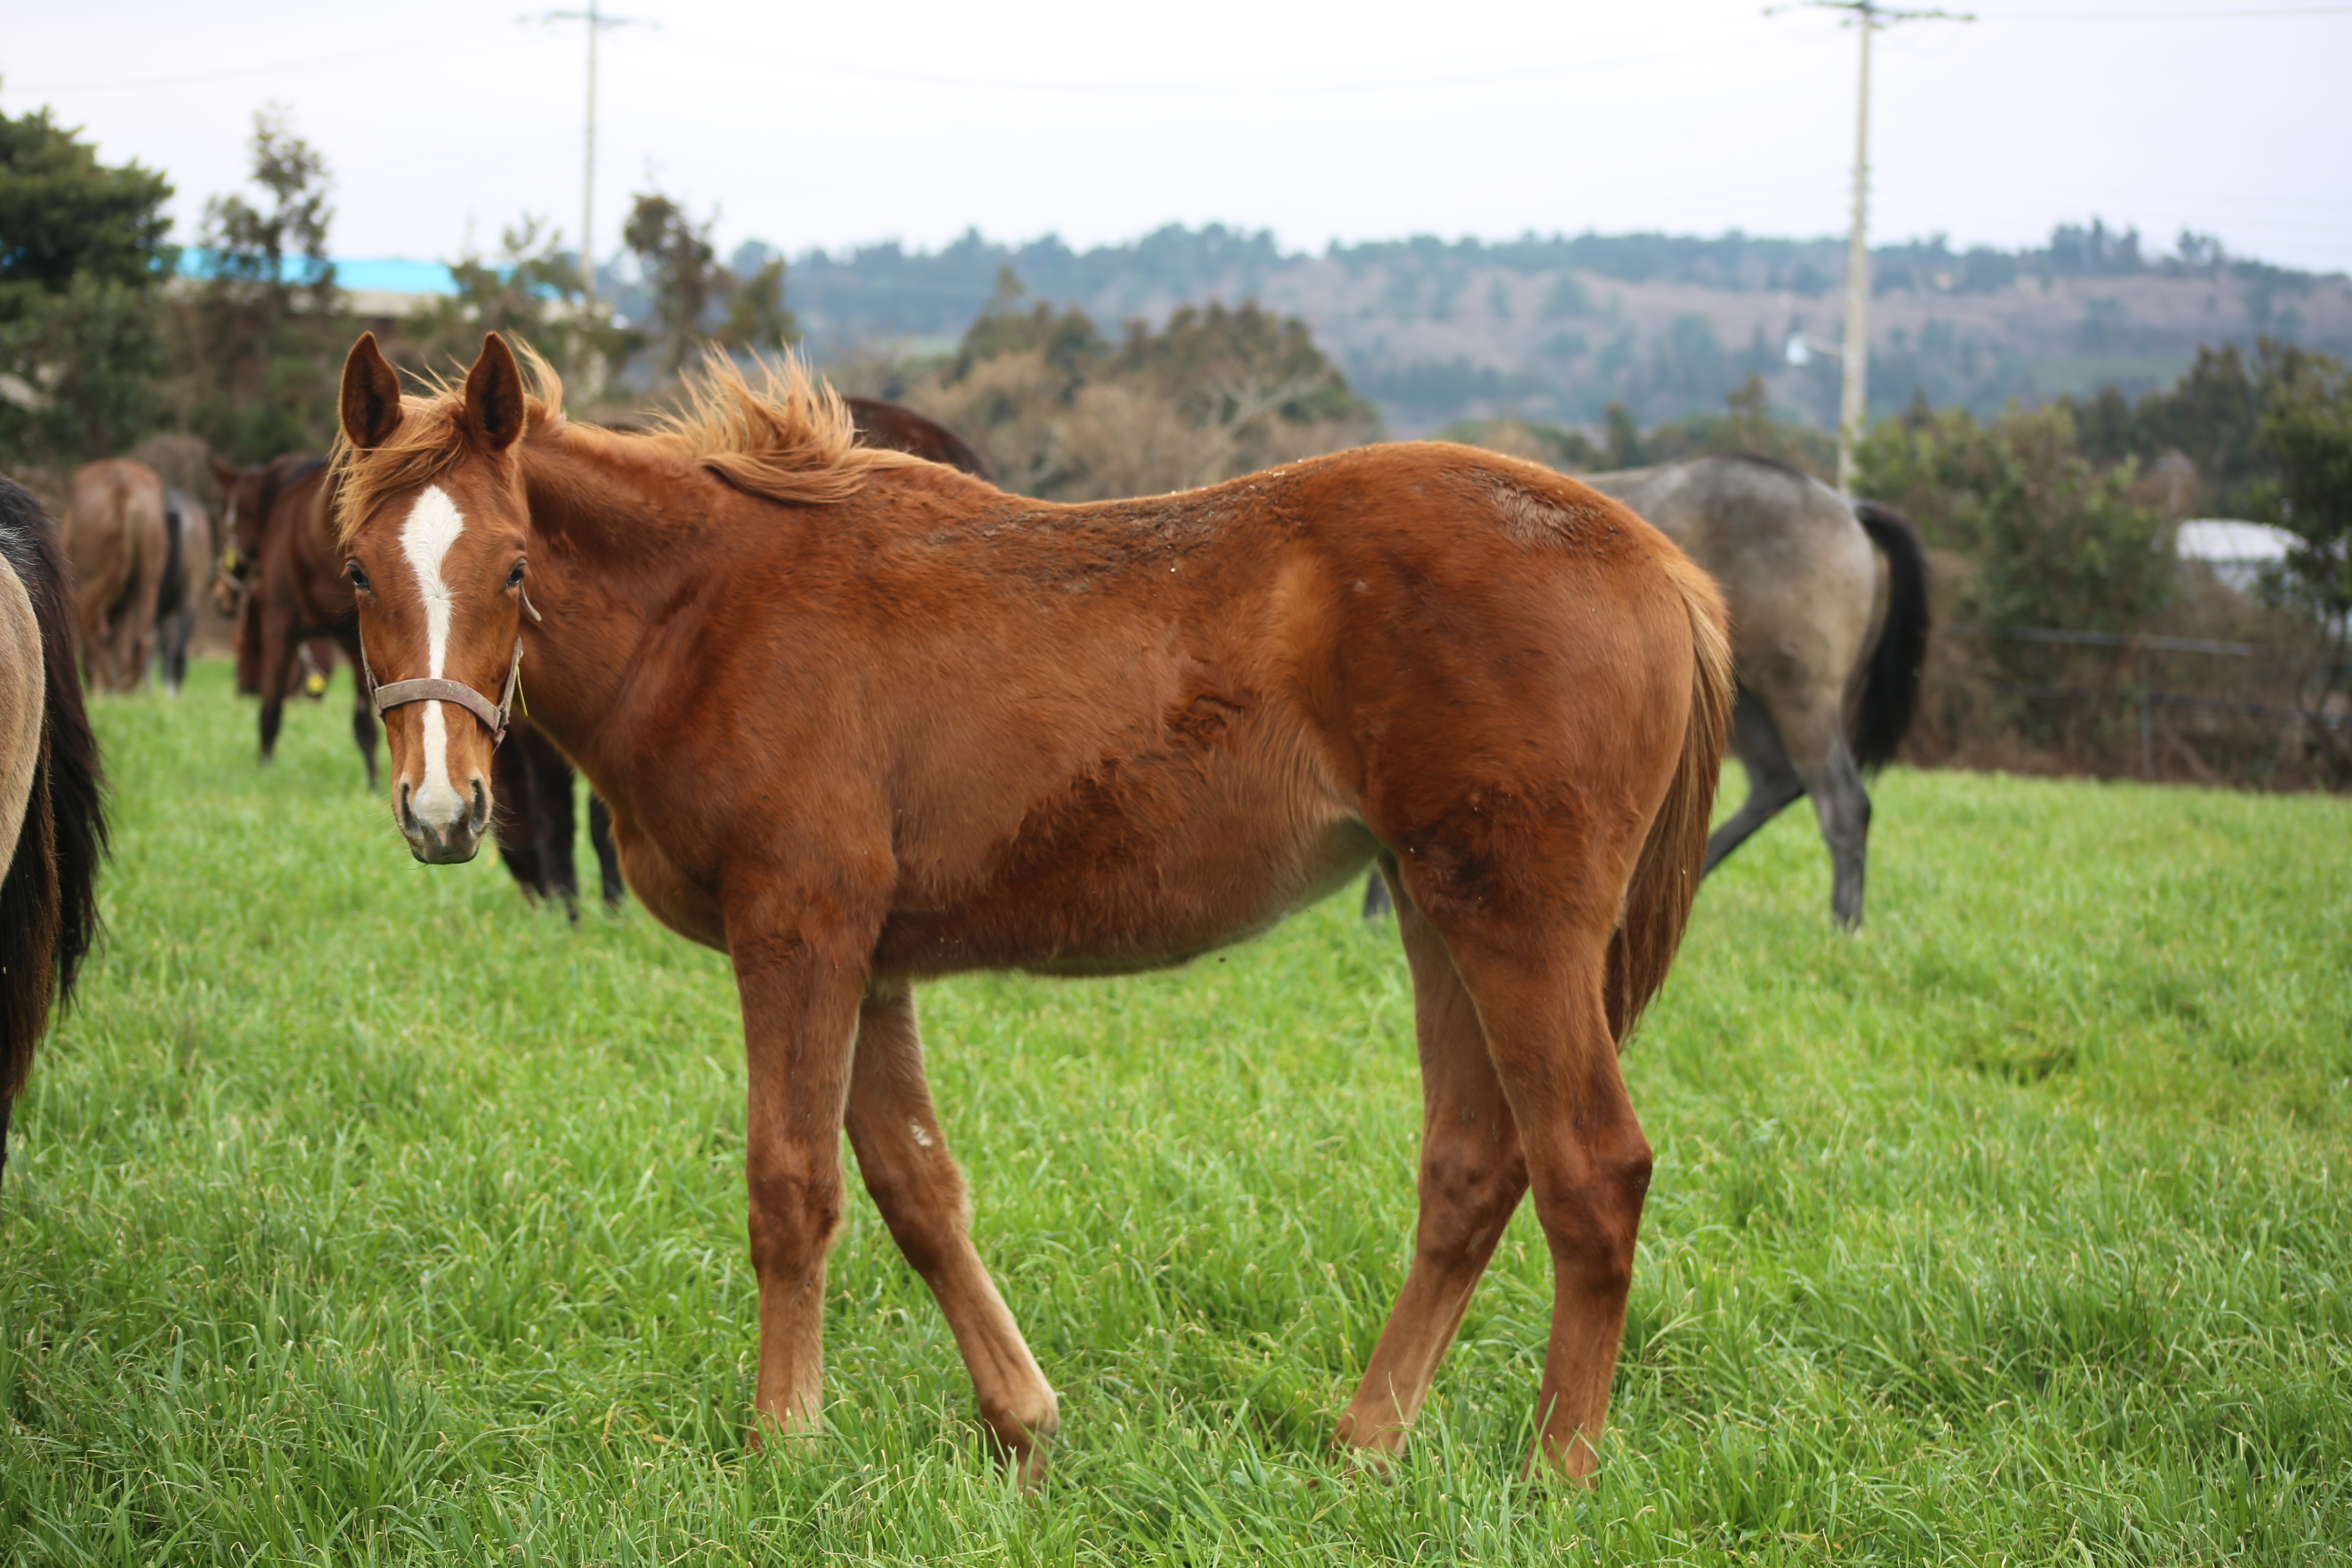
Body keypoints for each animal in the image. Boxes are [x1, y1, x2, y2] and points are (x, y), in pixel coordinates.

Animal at [209, 454, 379, 785]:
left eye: (223, 523)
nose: (221, 595)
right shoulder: (354, 643)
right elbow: (366, 724)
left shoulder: (280, 628)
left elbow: (271, 710)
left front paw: (263, 772)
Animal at [327, 339, 1731, 1495]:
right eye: (355, 573)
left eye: (514, 565)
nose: (444, 806)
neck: (713, 611)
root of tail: (1657, 561)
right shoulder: (868, 960)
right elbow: (915, 1188)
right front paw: (1022, 1424)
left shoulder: (799, 934)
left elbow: (792, 1186)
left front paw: (783, 1443)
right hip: (1441, 915)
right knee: (1473, 1167)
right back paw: (1365, 1446)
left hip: (1519, 922)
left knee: (1592, 1169)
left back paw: (1557, 1473)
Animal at [1364, 454, 1929, 926]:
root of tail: (1845, 504)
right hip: (1746, 699)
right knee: (1777, 782)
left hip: (1800, 695)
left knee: (1843, 803)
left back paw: (1845, 927)